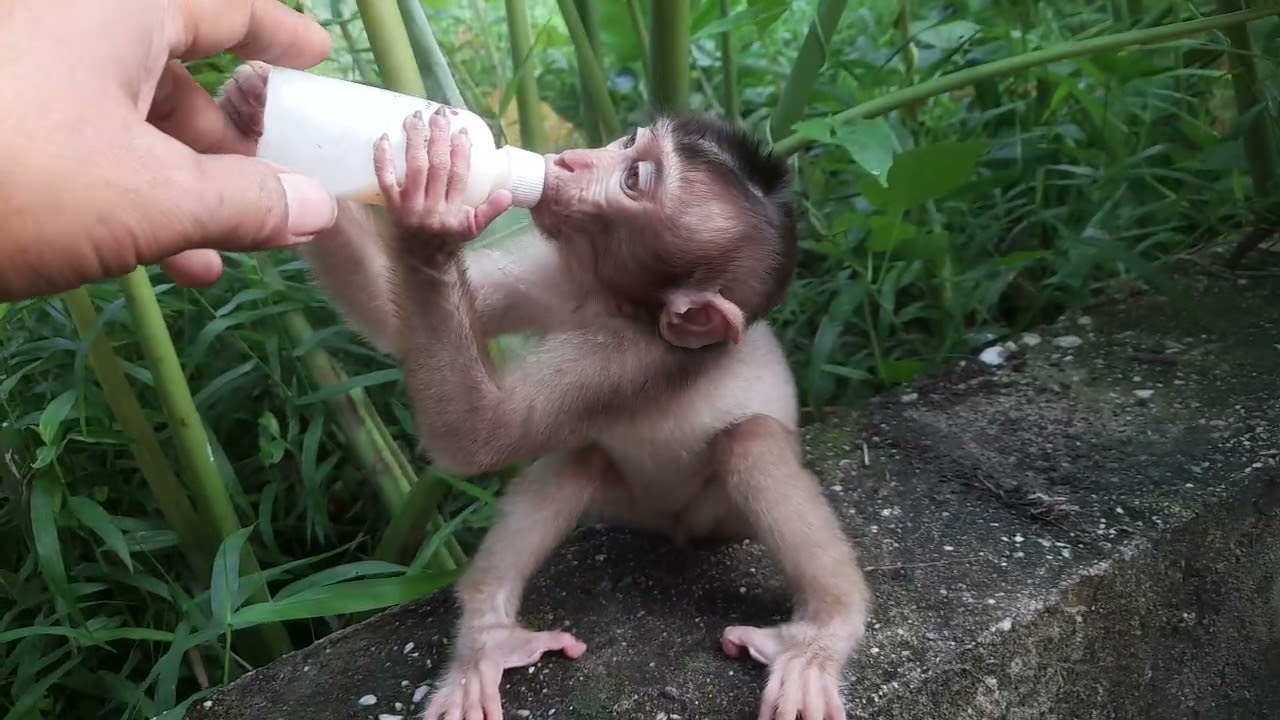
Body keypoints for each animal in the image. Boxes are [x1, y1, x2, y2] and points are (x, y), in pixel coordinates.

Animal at [218, 62, 871, 720]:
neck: (602, 298)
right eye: (628, 142)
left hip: (715, 516)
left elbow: (481, 435)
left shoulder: (635, 355)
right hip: (625, 502)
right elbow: (386, 308)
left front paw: (431, 207)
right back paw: (488, 639)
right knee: (579, 461)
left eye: (633, 178)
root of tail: (671, 530)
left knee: (751, 441)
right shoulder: (547, 269)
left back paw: (822, 632)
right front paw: (251, 102)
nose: (571, 161)